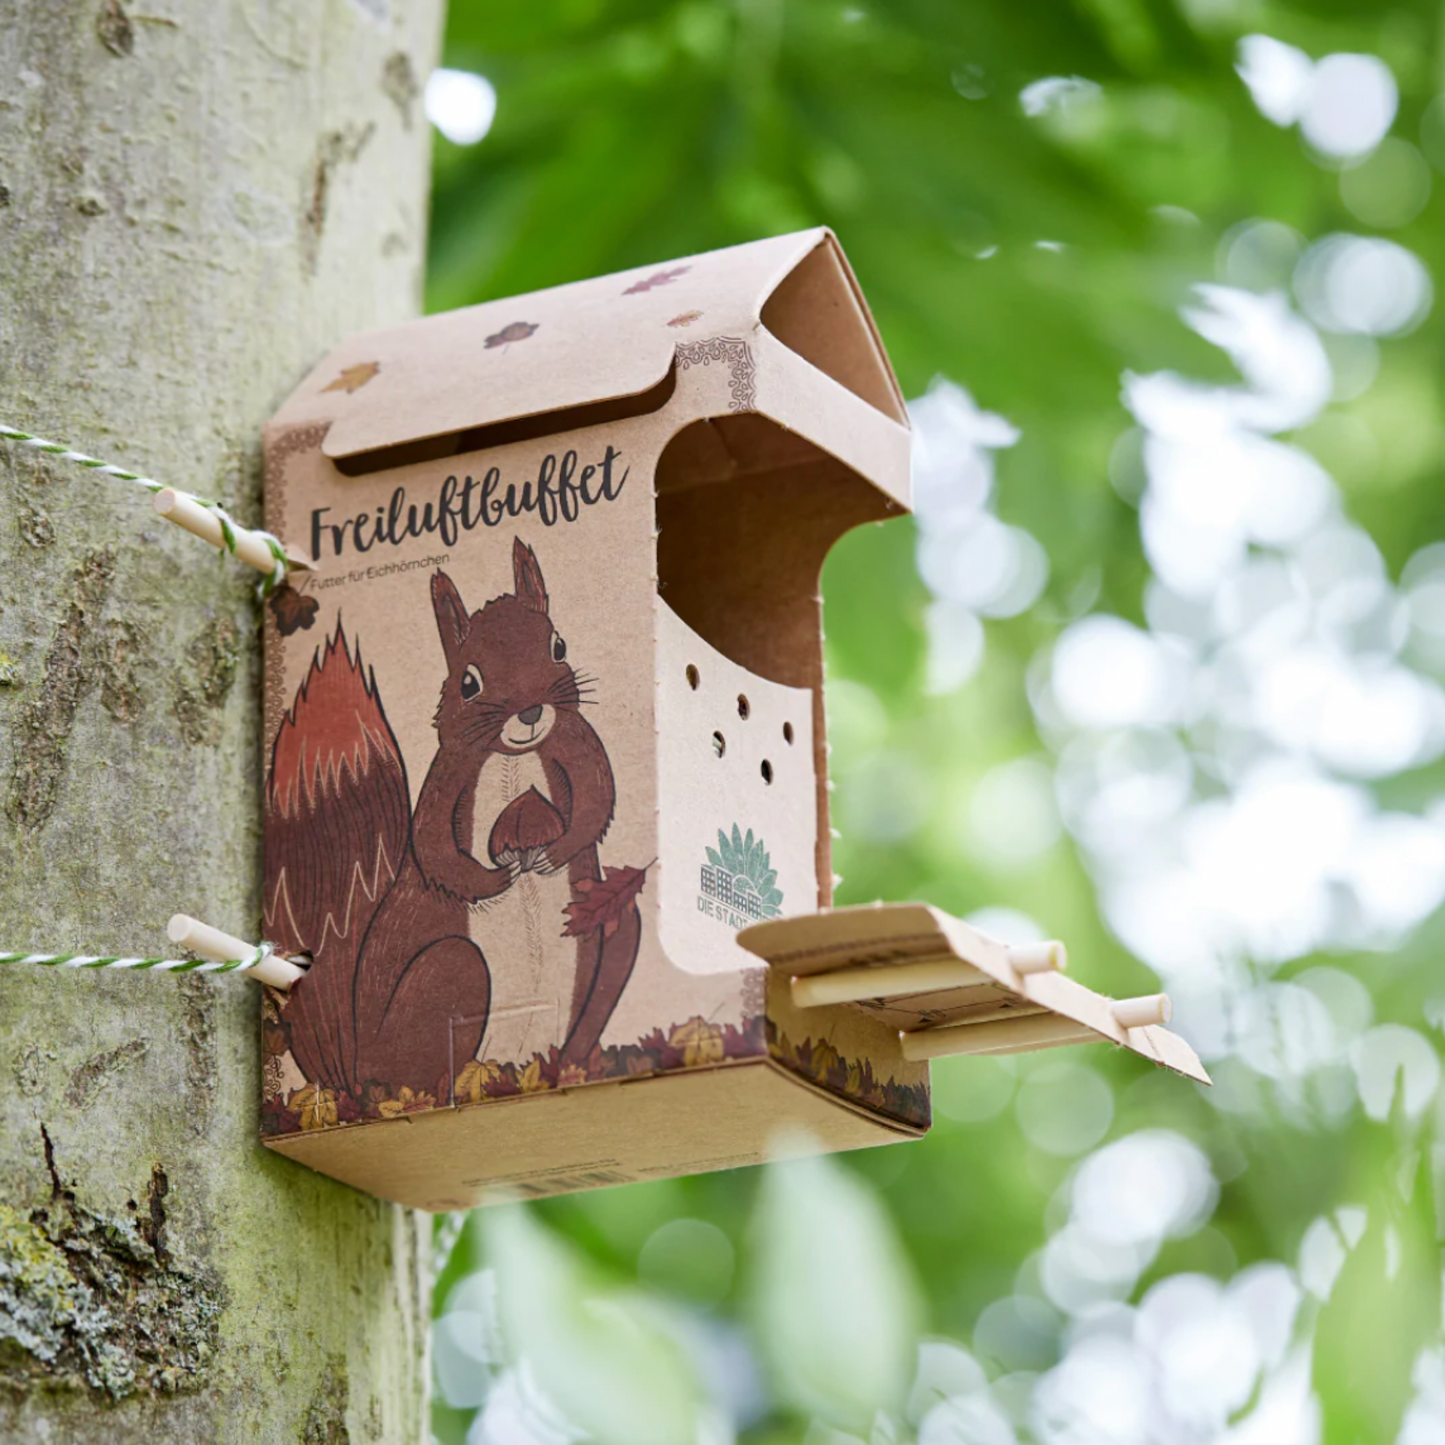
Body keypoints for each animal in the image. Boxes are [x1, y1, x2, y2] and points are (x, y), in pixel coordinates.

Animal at [264, 537, 641, 1099]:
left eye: (558, 647)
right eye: (468, 682)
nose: (531, 711)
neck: (510, 755)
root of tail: (355, 1079)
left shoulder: (576, 739)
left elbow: (597, 796)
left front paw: (552, 854)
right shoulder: (447, 775)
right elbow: (432, 845)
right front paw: (494, 879)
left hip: (615, 930)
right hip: (453, 970)